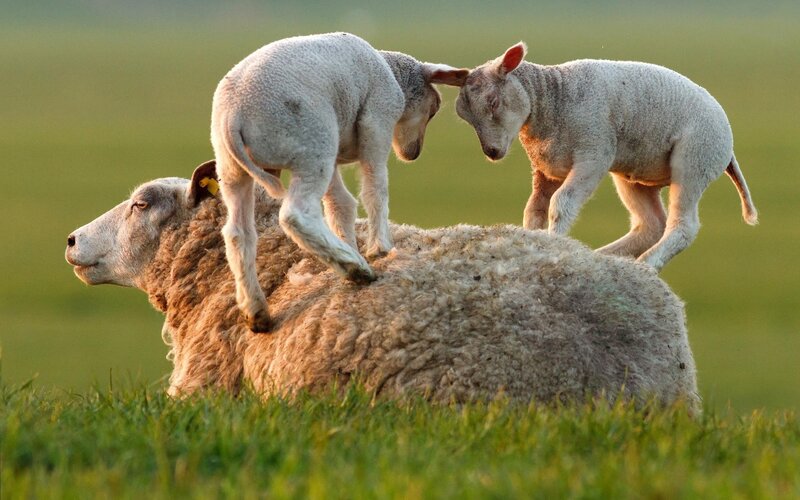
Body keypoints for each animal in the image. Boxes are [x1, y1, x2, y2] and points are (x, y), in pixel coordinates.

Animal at [211, 32, 468, 332]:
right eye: (434, 109)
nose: (412, 154)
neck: (393, 72)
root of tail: (233, 117)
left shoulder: (336, 156)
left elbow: (340, 204)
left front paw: (349, 242)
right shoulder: (376, 119)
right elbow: (375, 188)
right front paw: (380, 247)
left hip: (232, 169)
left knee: (238, 233)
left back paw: (256, 309)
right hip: (312, 142)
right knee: (296, 215)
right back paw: (355, 268)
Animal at [441, 43, 758, 270]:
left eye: (493, 102)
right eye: (464, 116)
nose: (492, 153)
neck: (554, 100)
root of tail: (728, 144)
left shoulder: (593, 155)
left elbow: (561, 204)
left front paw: (556, 243)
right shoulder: (545, 169)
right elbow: (534, 210)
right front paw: (535, 242)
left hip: (695, 158)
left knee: (683, 226)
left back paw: (647, 265)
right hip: (636, 176)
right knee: (651, 225)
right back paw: (606, 257)